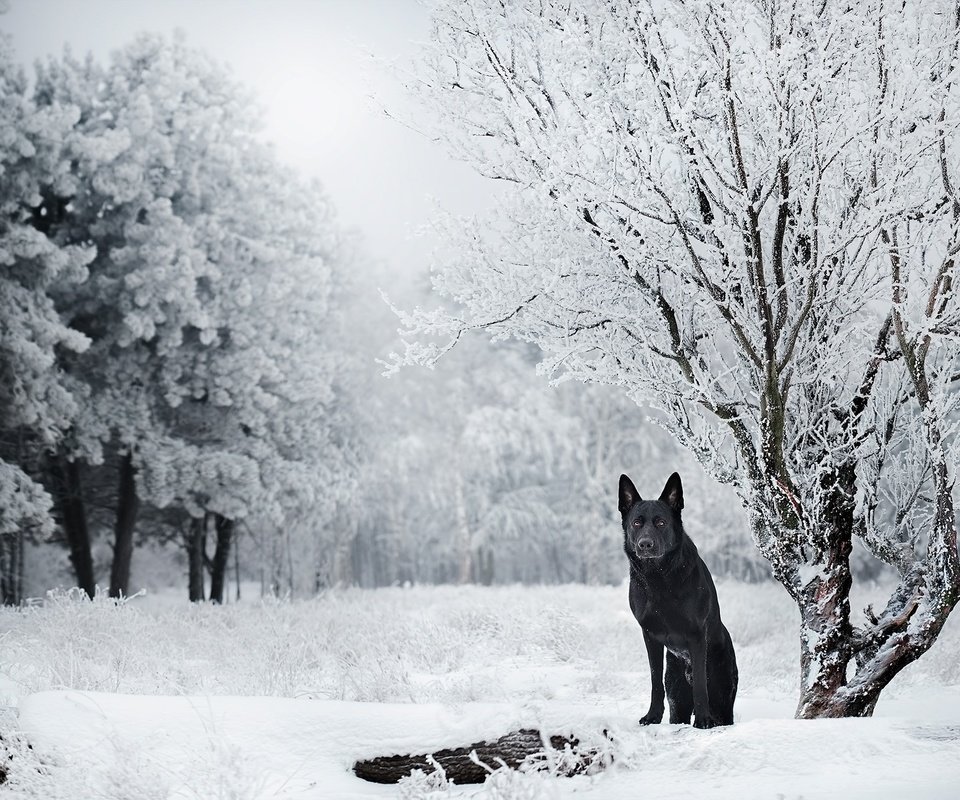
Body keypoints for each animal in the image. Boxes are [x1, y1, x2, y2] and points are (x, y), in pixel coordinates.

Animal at [620, 472, 740, 728]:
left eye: (660, 523)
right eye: (637, 523)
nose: (645, 544)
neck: (658, 577)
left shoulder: (696, 634)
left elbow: (701, 686)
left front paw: (703, 720)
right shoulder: (649, 636)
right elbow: (655, 681)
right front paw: (652, 716)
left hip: (723, 701)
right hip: (677, 700)